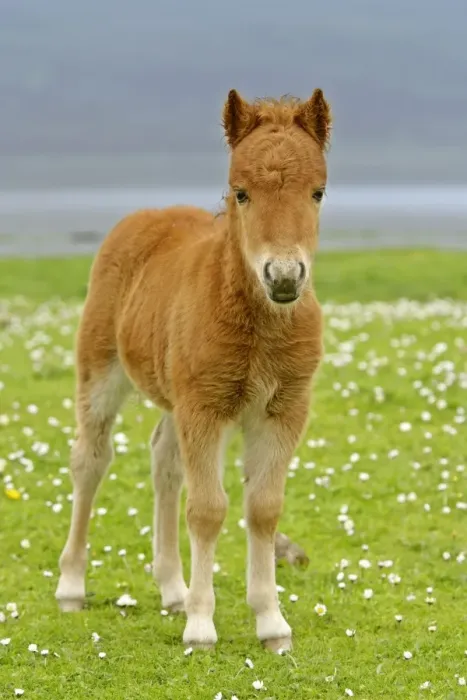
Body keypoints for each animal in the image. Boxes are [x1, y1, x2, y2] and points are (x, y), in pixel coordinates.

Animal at [55, 88, 332, 652]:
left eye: (317, 192)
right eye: (241, 193)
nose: (284, 278)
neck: (259, 329)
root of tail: (146, 216)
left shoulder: (283, 411)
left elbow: (263, 508)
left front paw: (272, 624)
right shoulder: (206, 407)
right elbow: (207, 509)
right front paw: (203, 628)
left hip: (175, 396)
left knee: (164, 460)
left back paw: (173, 589)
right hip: (101, 370)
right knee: (90, 459)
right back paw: (72, 587)